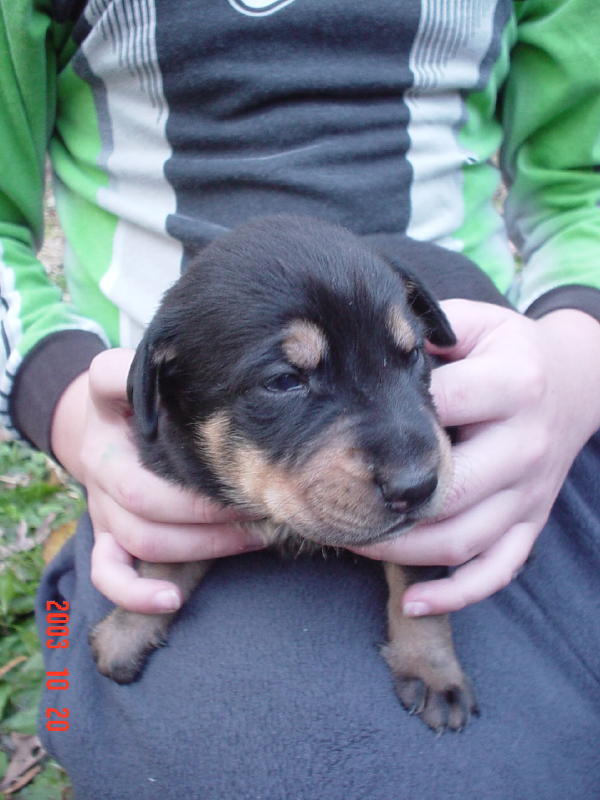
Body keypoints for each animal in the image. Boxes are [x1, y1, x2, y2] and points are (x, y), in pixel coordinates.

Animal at [88, 212, 506, 732]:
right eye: (285, 381)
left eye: (413, 355)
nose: (417, 486)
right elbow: (161, 566)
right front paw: (126, 629)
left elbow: (421, 591)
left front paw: (433, 673)